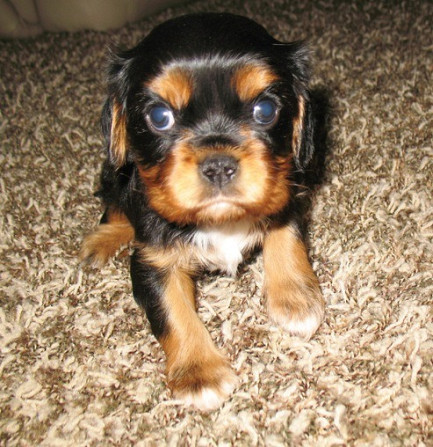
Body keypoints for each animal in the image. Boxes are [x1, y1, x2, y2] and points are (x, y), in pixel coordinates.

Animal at [81, 12, 324, 412]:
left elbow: (284, 233)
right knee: (115, 203)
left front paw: (295, 296)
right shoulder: (153, 263)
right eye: (159, 116)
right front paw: (199, 373)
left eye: (265, 110)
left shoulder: (285, 187)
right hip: (115, 169)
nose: (219, 166)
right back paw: (102, 240)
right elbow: (172, 311)